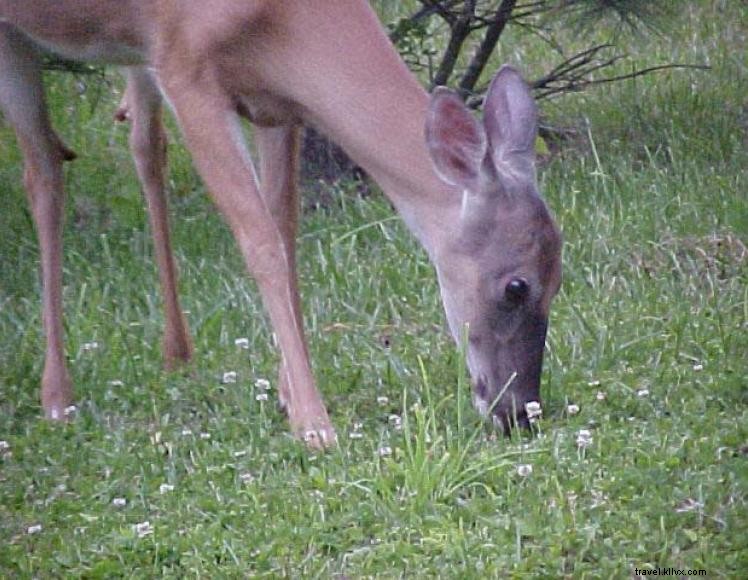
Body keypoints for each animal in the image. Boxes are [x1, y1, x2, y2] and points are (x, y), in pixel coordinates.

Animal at [0, 0, 560, 448]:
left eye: (560, 280)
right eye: (516, 286)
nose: (521, 413)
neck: (284, 19)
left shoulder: (276, 104)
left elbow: (285, 230)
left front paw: (289, 395)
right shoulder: (184, 67)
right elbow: (262, 242)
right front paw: (315, 423)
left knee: (138, 144)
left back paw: (175, 352)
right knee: (42, 172)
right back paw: (57, 395)